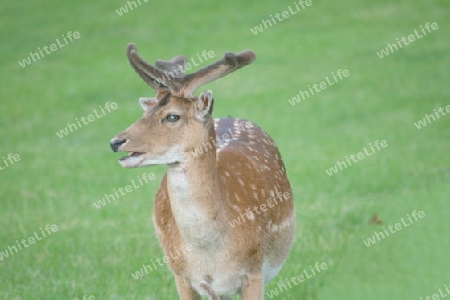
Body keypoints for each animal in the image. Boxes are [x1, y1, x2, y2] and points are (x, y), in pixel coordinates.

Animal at [109, 43, 296, 298]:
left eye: (173, 116)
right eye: (145, 113)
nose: (116, 142)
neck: (209, 252)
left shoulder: (254, 271)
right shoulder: (181, 275)